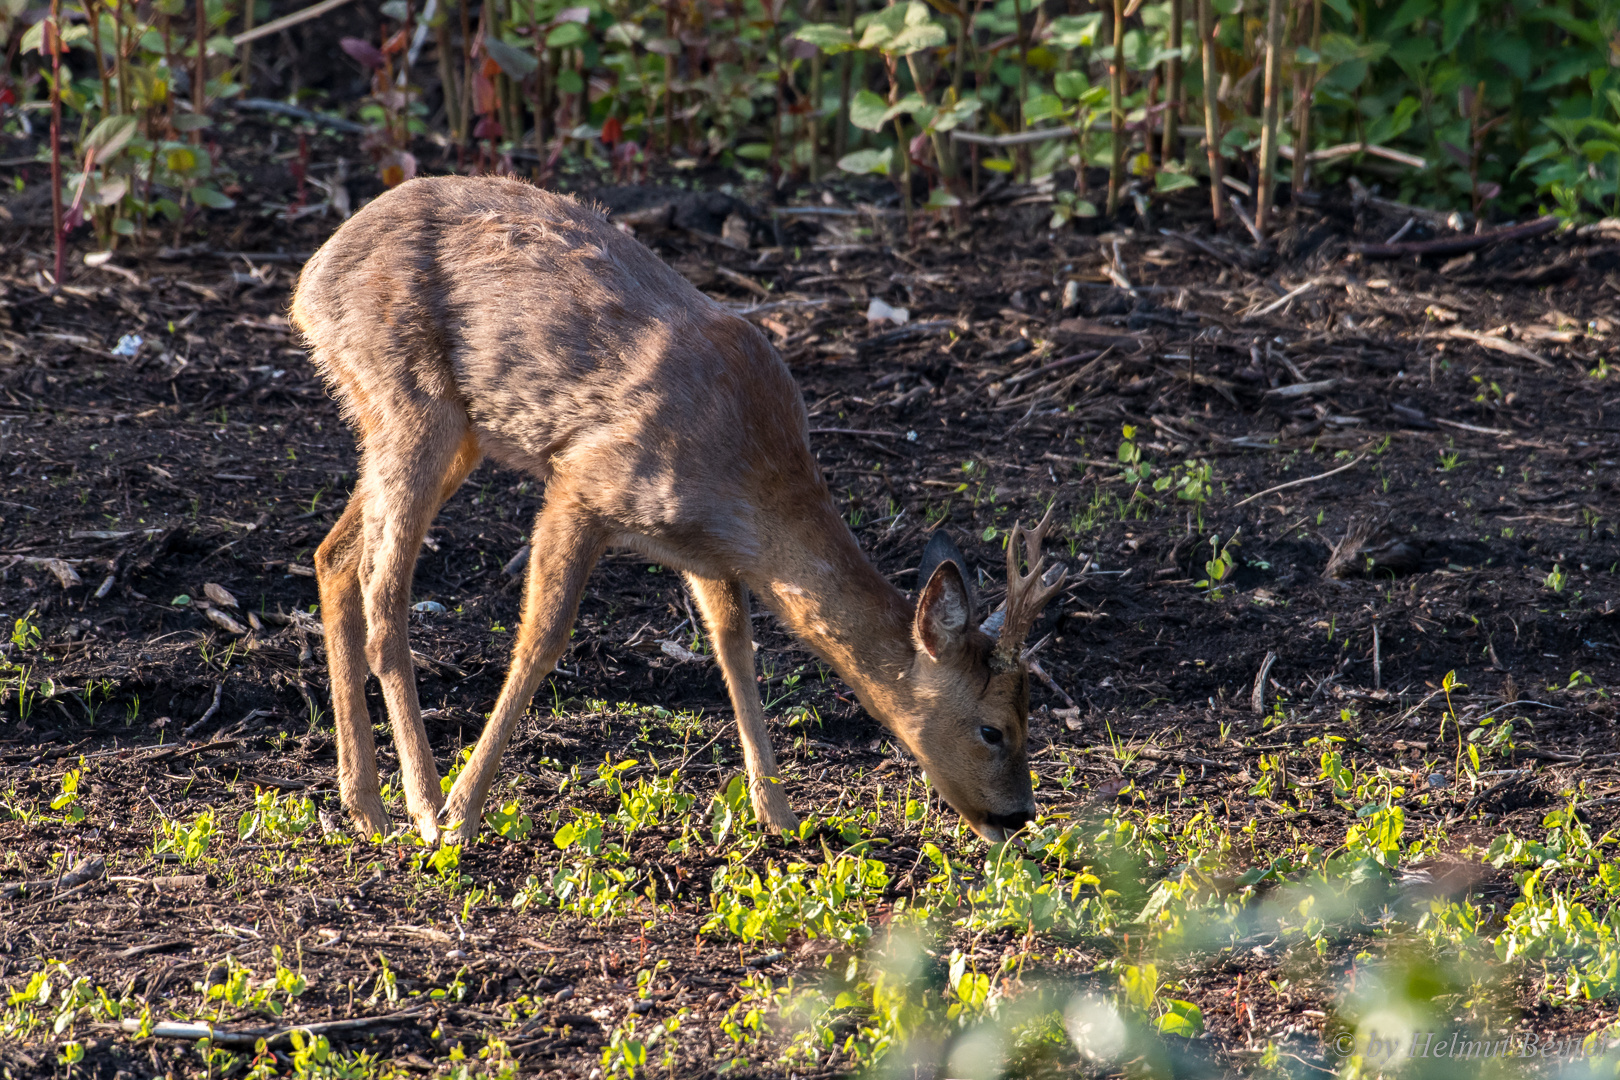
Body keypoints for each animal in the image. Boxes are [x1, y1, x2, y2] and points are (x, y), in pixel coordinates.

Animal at [291, 175, 1069, 841]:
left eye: (1033, 711)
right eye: (993, 727)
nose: (1018, 817)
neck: (751, 488)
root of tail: (309, 280)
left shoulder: (704, 552)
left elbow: (735, 647)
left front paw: (779, 813)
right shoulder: (582, 482)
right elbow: (541, 639)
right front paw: (464, 809)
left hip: (442, 428)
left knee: (333, 557)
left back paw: (364, 805)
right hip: (414, 403)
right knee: (383, 592)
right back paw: (423, 806)